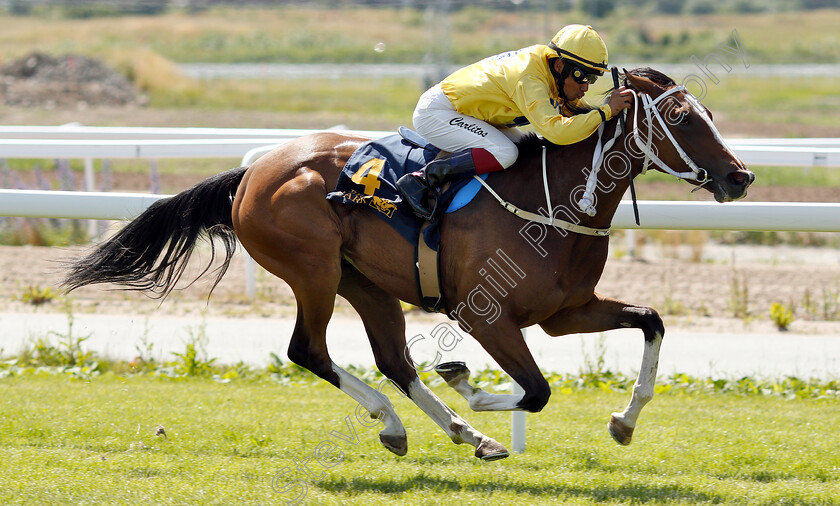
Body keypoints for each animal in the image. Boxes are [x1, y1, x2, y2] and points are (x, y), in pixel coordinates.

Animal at [62, 68, 752, 462]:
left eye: (710, 114)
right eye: (684, 117)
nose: (739, 177)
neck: (549, 200)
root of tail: (253, 172)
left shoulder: (565, 312)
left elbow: (651, 321)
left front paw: (623, 422)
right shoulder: (485, 316)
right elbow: (535, 391)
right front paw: (467, 381)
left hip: (364, 283)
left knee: (393, 359)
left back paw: (462, 435)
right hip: (314, 272)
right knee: (308, 350)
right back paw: (406, 422)